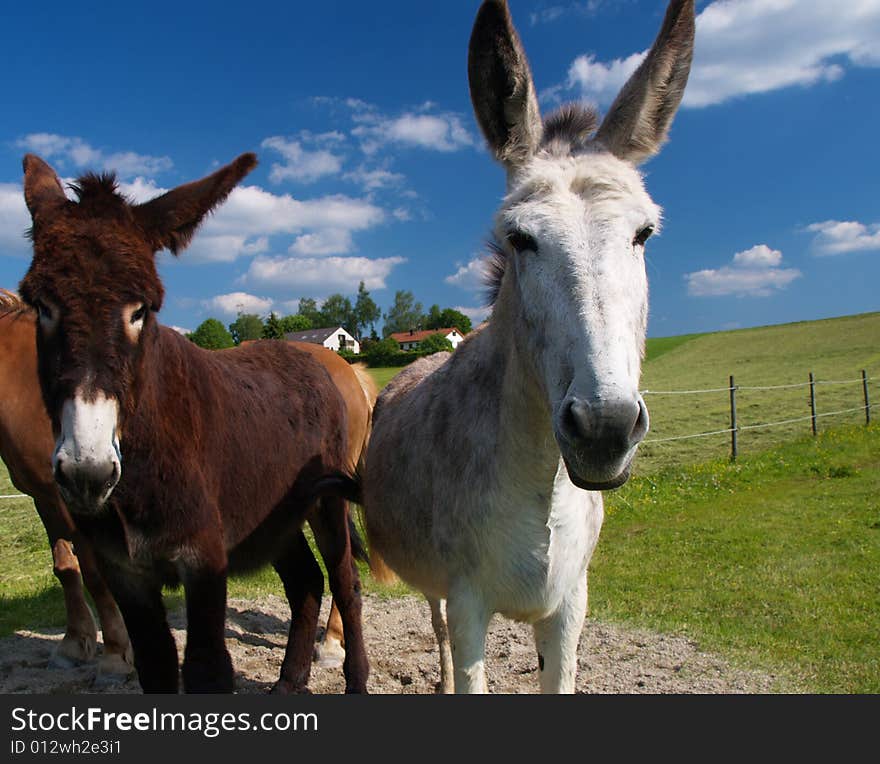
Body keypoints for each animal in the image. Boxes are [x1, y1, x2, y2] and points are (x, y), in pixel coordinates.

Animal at [19, 151, 372, 692]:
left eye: (141, 309)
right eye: (41, 305)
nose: (87, 471)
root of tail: (314, 359)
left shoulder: (204, 562)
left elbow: (207, 667)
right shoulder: (126, 573)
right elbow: (157, 665)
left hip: (327, 502)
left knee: (344, 582)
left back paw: (354, 678)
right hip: (272, 514)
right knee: (306, 581)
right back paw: (289, 683)